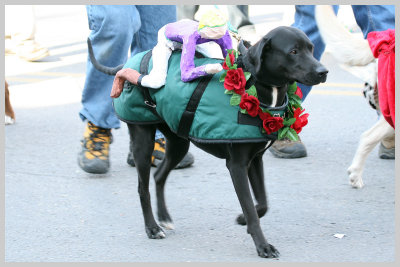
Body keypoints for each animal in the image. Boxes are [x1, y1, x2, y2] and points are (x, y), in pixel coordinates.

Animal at [88, 26, 328, 258]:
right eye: (293, 51)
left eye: (311, 48)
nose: (323, 72)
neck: (254, 88)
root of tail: (129, 64)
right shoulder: (237, 166)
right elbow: (251, 208)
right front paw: (263, 246)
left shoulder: (255, 160)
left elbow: (262, 203)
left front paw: (242, 219)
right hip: (143, 142)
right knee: (142, 188)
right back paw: (153, 228)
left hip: (178, 142)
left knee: (159, 176)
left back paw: (164, 217)